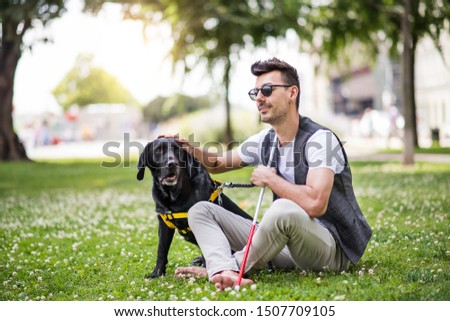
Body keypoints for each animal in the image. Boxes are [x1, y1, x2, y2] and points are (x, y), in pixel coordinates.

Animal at [136, 138, 253, 278]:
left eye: (178, 150)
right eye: (158, 150)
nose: (172, 164)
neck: (174, 194)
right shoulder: (164, 223)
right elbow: (161, 250)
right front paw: (157, 273)